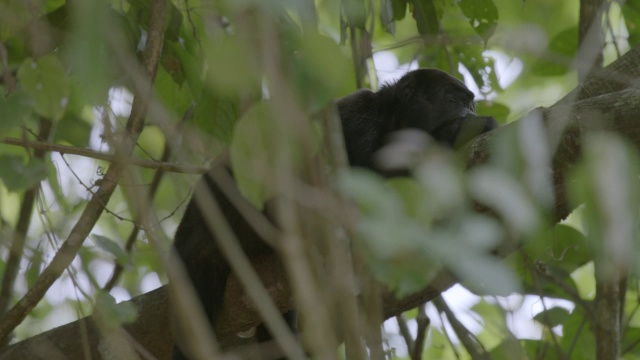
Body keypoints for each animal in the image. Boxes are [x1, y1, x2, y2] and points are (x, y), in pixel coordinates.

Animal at [172, 69, 498, 358]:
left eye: (470, 103)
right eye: (451, 99)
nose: (467, 112)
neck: (391, 121)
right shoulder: (352, 117)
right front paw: (459, 131)